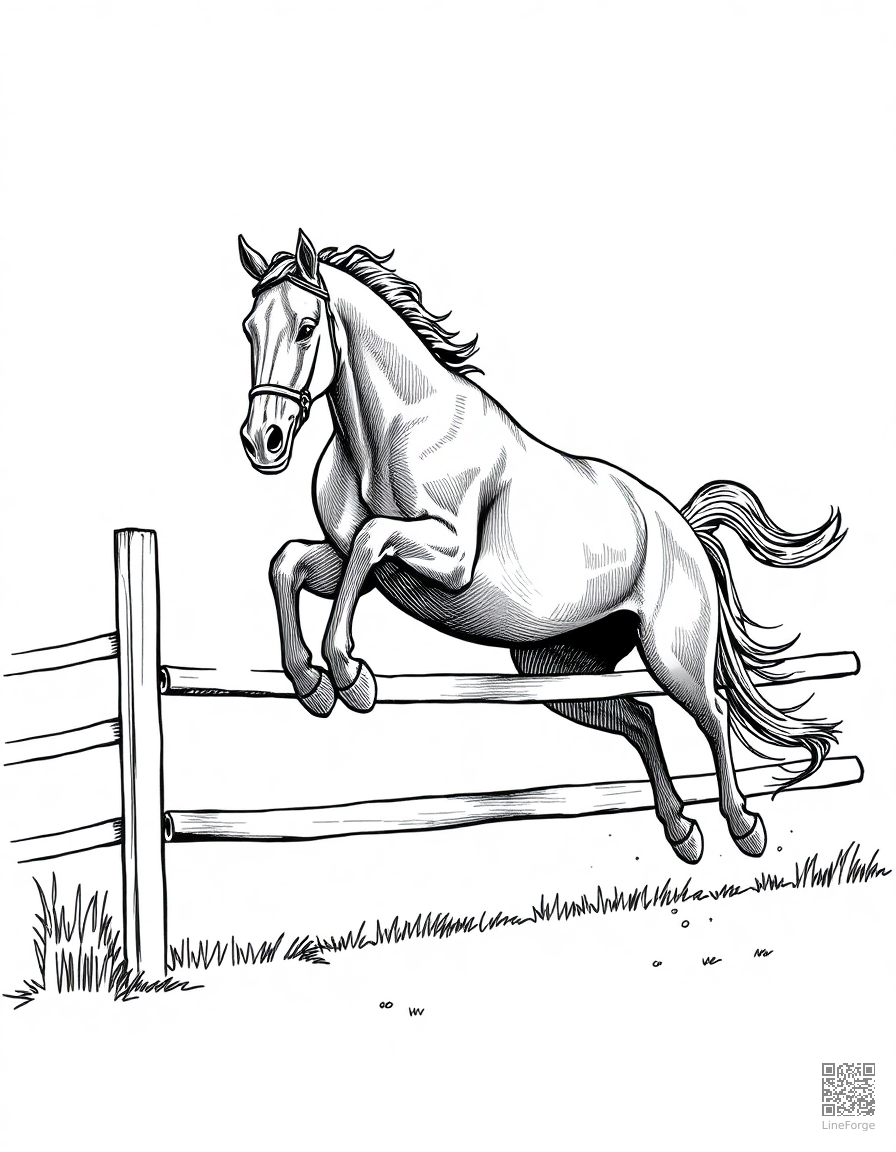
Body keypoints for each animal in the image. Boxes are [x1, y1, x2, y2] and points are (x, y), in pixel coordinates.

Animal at [237, 228, 844, 864]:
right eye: (250, 328)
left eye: (306, 327)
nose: (262, 441)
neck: (393, 433)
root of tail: (684, 530)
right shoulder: (361, 565)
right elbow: (292, 563)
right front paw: (311, 683)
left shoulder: (449, 559)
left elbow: (369, 541)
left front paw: (349, 677)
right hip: (557, 670)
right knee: (640, 717)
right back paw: (681, 831)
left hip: (674, 656)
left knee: (715, 716)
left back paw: (743, 826)